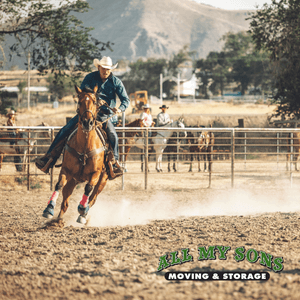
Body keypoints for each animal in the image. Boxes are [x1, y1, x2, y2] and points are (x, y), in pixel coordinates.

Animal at [41, 85, 108, 224]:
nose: (87, 122)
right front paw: (49, 209)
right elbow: (59, 185)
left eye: (95, 102)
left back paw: (83, 215)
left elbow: (88, 188)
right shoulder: (66, 170)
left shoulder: (96, 173)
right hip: (72, 180)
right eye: (79, 102)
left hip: (103, 180)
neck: (85, 147)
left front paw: (82, 208)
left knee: (93, 198)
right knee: (65, 203)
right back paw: (58, 221)